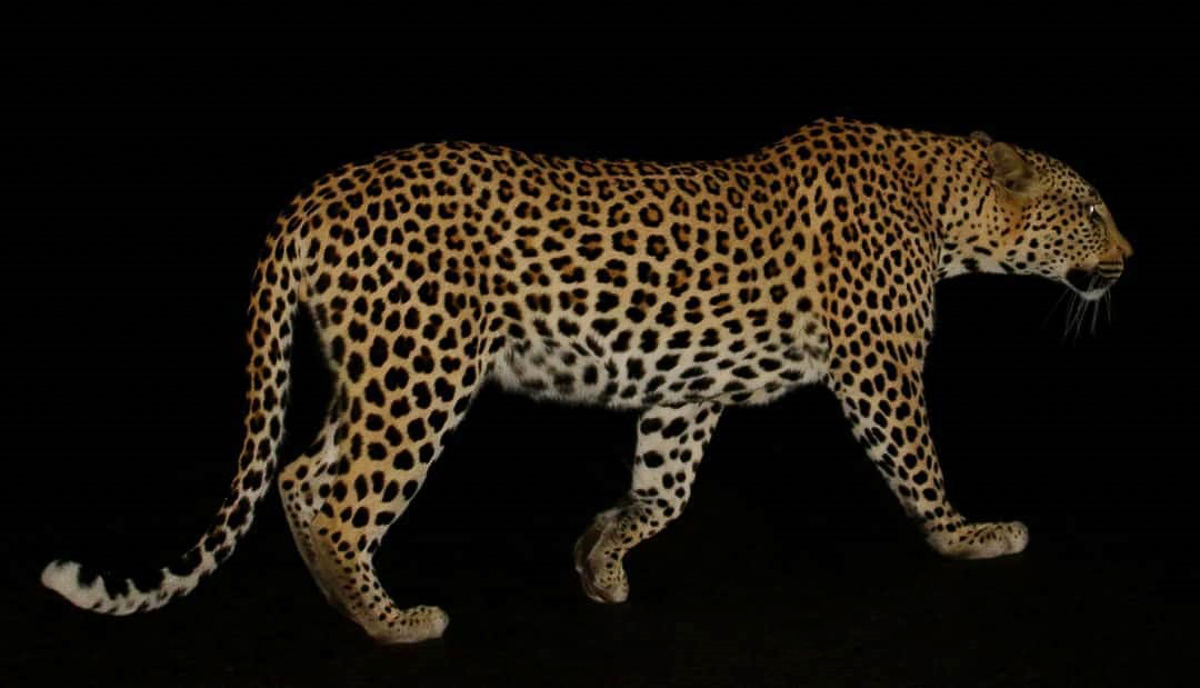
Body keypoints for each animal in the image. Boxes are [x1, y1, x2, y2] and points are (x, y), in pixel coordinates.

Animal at [41, 117, 1132, 644]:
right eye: (1091, 210)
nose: (1131, 256)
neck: (945, 206)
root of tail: (314, 195)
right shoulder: (880, 365)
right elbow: (919, 463)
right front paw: (969, 536)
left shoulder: (686, 392)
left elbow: (666, 490)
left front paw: (600, 556)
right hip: (423, 366)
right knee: (336, 495)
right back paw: (388, 623)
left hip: (372, 368)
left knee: (303, 475)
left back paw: (344, 601)